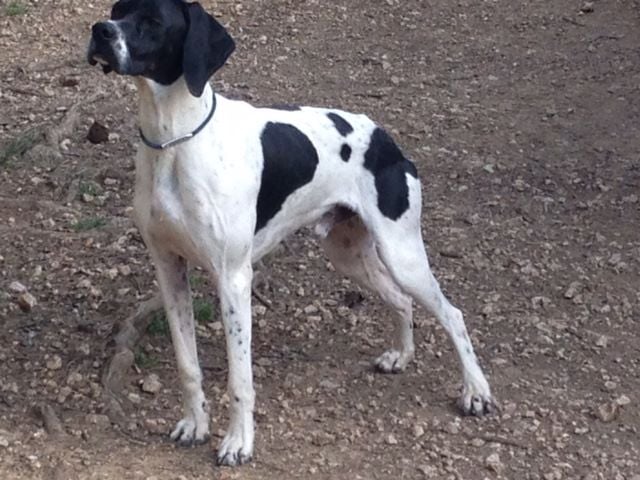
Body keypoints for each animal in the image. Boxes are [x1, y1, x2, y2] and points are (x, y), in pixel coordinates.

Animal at [86, 0, 496, 466]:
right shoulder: (169, 269)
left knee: (452, 313)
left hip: (401, 251)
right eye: (117, 9)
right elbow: (188, 365)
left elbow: (240, 379)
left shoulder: (233, 278)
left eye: (153, 22)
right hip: (348, 254)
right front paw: (195, 424)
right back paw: (402, 357)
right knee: (401, 300)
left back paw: (476, 391)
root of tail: (384, 137)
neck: (174, 140)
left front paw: (238, 443)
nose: (100, 31)